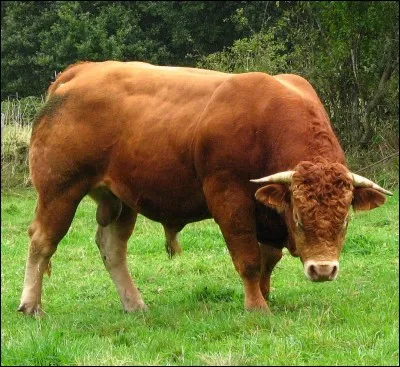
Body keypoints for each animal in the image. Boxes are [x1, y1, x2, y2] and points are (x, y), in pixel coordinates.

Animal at [18, 61, 390, 316]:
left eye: (345, 220)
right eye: (299, 216)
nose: (323, 270)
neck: (268, 123)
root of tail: (80, 71)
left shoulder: (267, 210)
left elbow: (268, 259)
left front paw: (265, 295)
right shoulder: (229, 198)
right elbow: (248, 258)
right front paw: (257, 307)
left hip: (121, 199)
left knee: (112, 248)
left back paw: (135, 305)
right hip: (59, 190)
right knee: (42, 241)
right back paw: (30, 305)